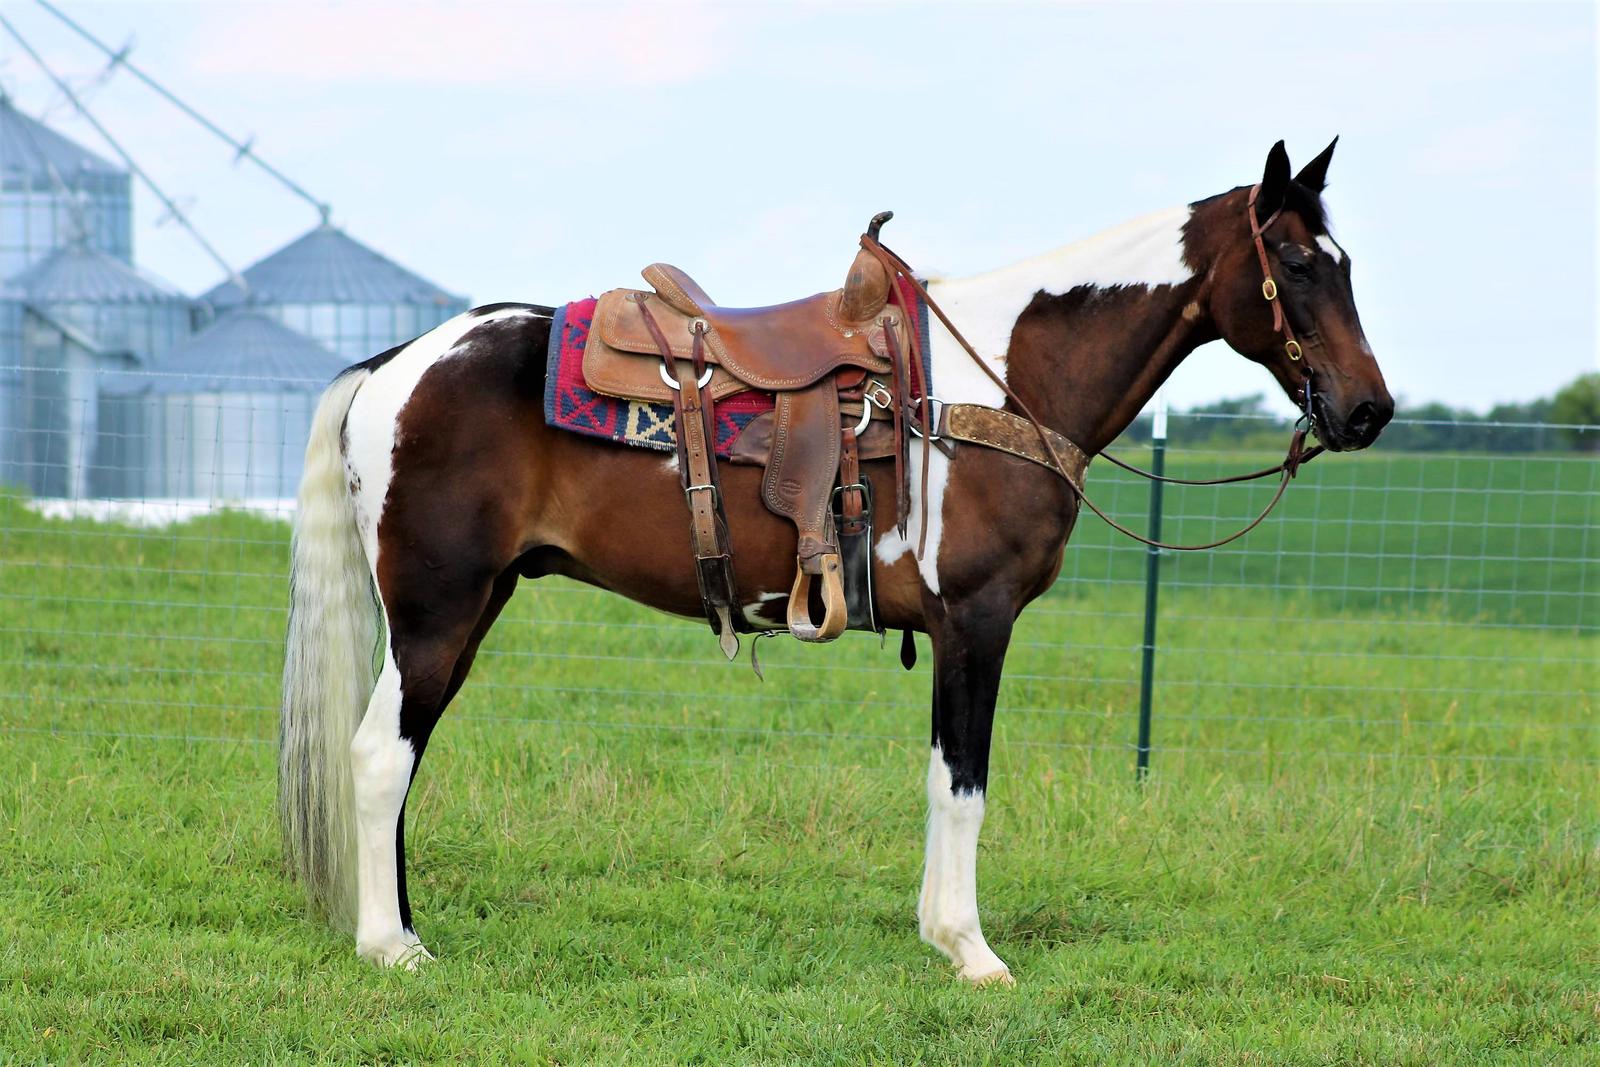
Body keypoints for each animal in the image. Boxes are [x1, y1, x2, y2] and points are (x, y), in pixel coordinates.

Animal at [279, 139, 1392, 983]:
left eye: (1344, 263)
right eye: (1297, 262)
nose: (1368, 410)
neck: (1002, 380)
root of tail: (394, 363)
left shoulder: (954, 631)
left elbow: (940, 776)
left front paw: (941, 933)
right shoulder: (978, 620)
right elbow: (964, 782)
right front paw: (972, 951)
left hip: (470, 607)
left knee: (402, 759)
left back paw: (406, 925)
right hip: (437, 610)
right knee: (380, 755)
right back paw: (389, 947)